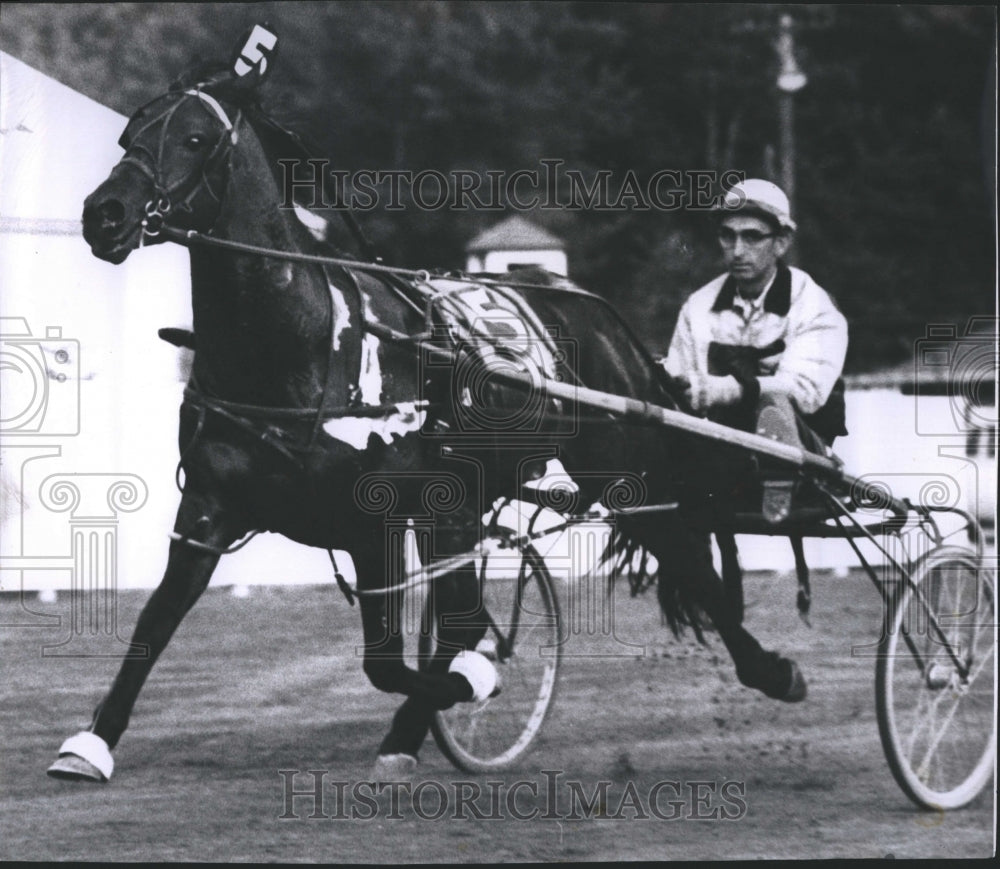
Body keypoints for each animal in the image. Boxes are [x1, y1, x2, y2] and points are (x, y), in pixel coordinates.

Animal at [47, 42, 804, 788]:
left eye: (195, 139)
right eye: (129, 135)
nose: (104, 214)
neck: (304, 341)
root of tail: (593, 310)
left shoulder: (377, 517)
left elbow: (396, 658)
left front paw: (473, 677)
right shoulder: (210, 508)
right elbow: (157, 618)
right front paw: (91, 743)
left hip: (613, 472)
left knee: (686, 557)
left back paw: (770, 669)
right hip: (467, 497)